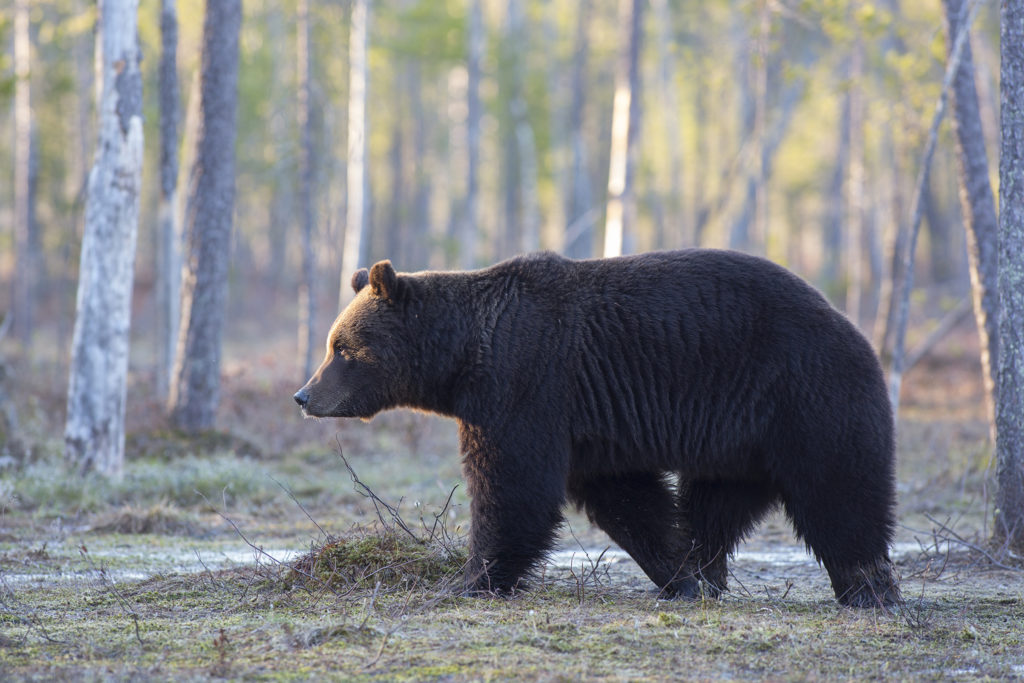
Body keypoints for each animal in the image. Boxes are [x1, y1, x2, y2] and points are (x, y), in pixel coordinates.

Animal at [292, 250, 901, 610]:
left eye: (341, 348)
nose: (304, 396)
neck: (463, 358)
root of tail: (853, 327)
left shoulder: (526, 385)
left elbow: (512, 487)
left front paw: (473, 579)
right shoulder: (589, 425)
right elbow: (627, 499)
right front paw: (677, 575)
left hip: (804, 396)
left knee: (840, 493)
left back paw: (869, 587)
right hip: (740, 438)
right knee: (715, 505)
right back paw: (708, 572)